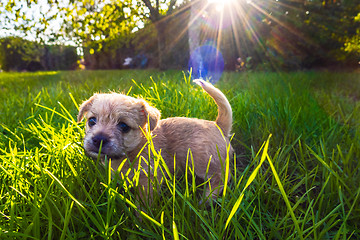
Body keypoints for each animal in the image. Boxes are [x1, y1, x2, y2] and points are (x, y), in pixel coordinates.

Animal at [77, 79, 233, 203]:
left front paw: (141, 218)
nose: (98, 139)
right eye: (91, 121)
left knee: (221, 178)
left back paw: (206, 199)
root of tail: (218, 125)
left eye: (123, 126)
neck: (134, 151)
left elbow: (143, 204)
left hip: (201, 160)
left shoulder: (149, 180)